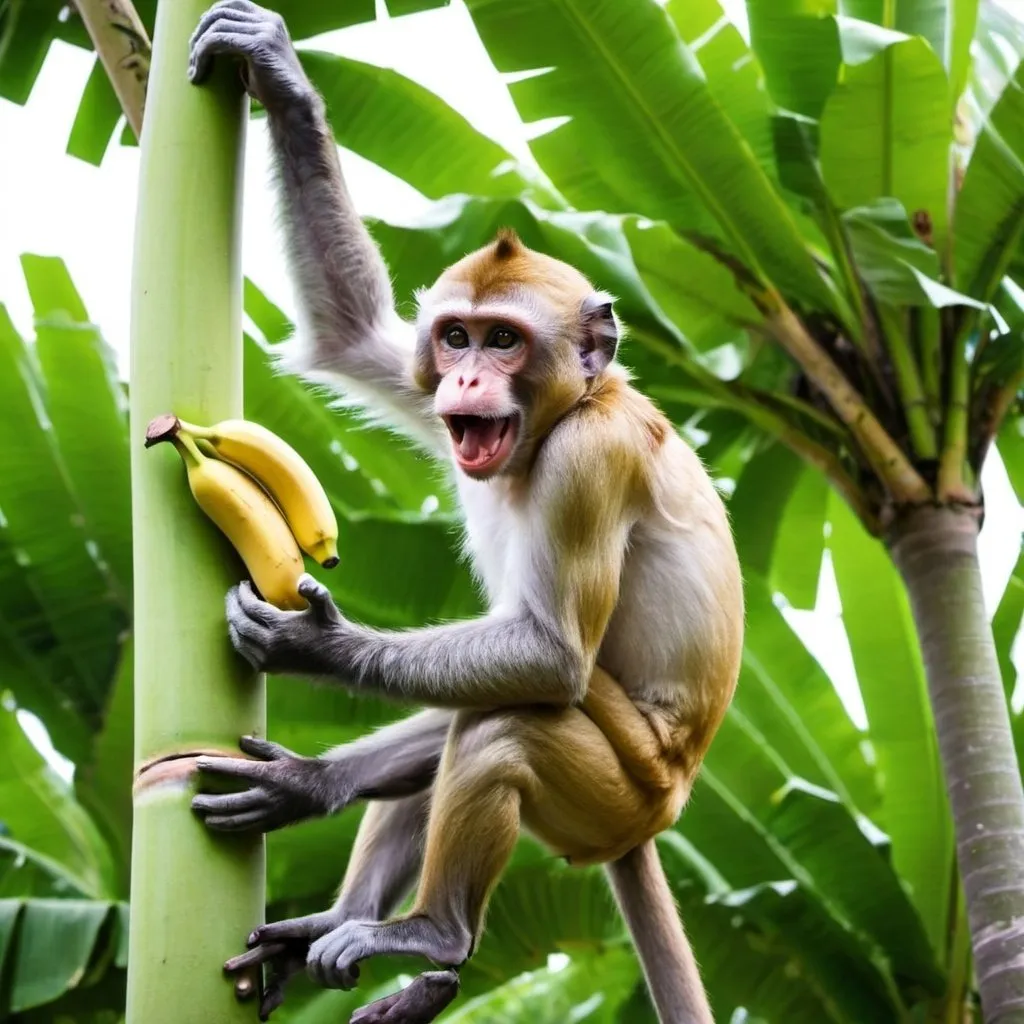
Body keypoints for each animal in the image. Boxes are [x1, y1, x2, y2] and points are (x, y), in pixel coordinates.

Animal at [184, 4, 745, 1019]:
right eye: (453, 337)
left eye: (504, 340)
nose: (468, 380)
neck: (561, 420)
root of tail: (666, 804)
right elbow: (350, 336)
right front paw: (281, 79)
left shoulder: (591, 458)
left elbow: (550, 657)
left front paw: (316, 646)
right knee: (460, 702)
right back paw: (338, 890)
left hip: (621, 789)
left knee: (508, 717)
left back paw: (432, 933)